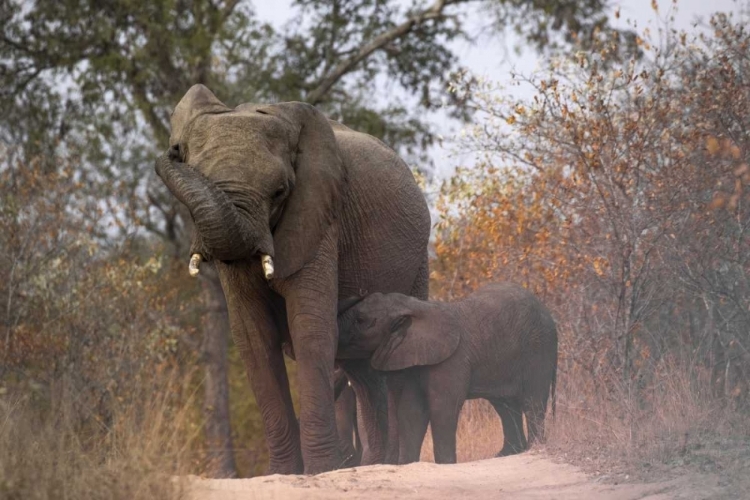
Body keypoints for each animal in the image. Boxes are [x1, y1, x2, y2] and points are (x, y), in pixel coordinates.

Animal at [156, 84, 432, 474]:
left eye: (280, 192)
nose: (172, 151)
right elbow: (253, 337)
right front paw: (284, 472)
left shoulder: (320, 215)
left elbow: (310, 326)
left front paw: (323, 469)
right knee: (364, 373)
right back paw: (376, 463)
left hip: (418, 262)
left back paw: (389, 464)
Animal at [336, 284, 560, 462]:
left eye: (361, 320)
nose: (360, 290)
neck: (415, 306)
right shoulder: (415, 361)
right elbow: (411, 411)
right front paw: (407, 464)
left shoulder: (451, 361)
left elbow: (442, 408)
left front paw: (445, 464)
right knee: (505, 406)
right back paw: (506, 454)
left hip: (538, 349)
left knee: (532, 402)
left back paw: (532, 449)